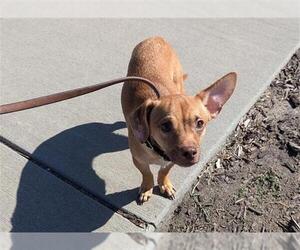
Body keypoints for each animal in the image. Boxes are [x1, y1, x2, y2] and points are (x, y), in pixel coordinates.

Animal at [120, 36, 236, 203]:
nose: (190, 152)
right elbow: (147, 174)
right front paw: (147, 187)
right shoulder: (139, 160)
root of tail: (156, 37)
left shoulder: (170, 161)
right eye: (165, 126)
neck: (159, 152)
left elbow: (164, 172)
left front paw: (164, 184)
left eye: (200, 123)